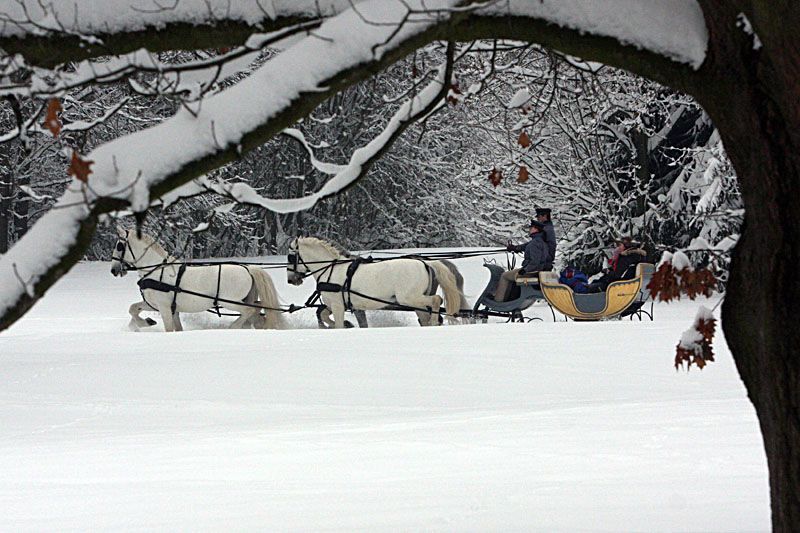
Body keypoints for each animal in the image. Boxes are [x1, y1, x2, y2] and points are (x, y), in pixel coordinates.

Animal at [111, 228, 286, 330]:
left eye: (119, 246)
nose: (113, 270)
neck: (157, 270)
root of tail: (248, 269)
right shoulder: (160, 306)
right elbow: (133, 308)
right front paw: (145, 322)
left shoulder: (164, 307)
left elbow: (168, 329)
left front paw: (144, 323)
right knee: (257, 310)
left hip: (230, 301)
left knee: (250, 310)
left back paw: (233, 327)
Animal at [288, 238, 466, 328]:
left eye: (290, 257)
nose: (291, 279)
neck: (332, 270)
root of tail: (426, 263)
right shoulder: (335, 304)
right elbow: (324, 314)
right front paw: (347, 323)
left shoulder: (338, 305)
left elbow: (336, 323)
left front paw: (343, 324)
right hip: (414, 301)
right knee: (424, 317)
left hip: (409, 298)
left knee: (437, 300)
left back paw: (435, 321)